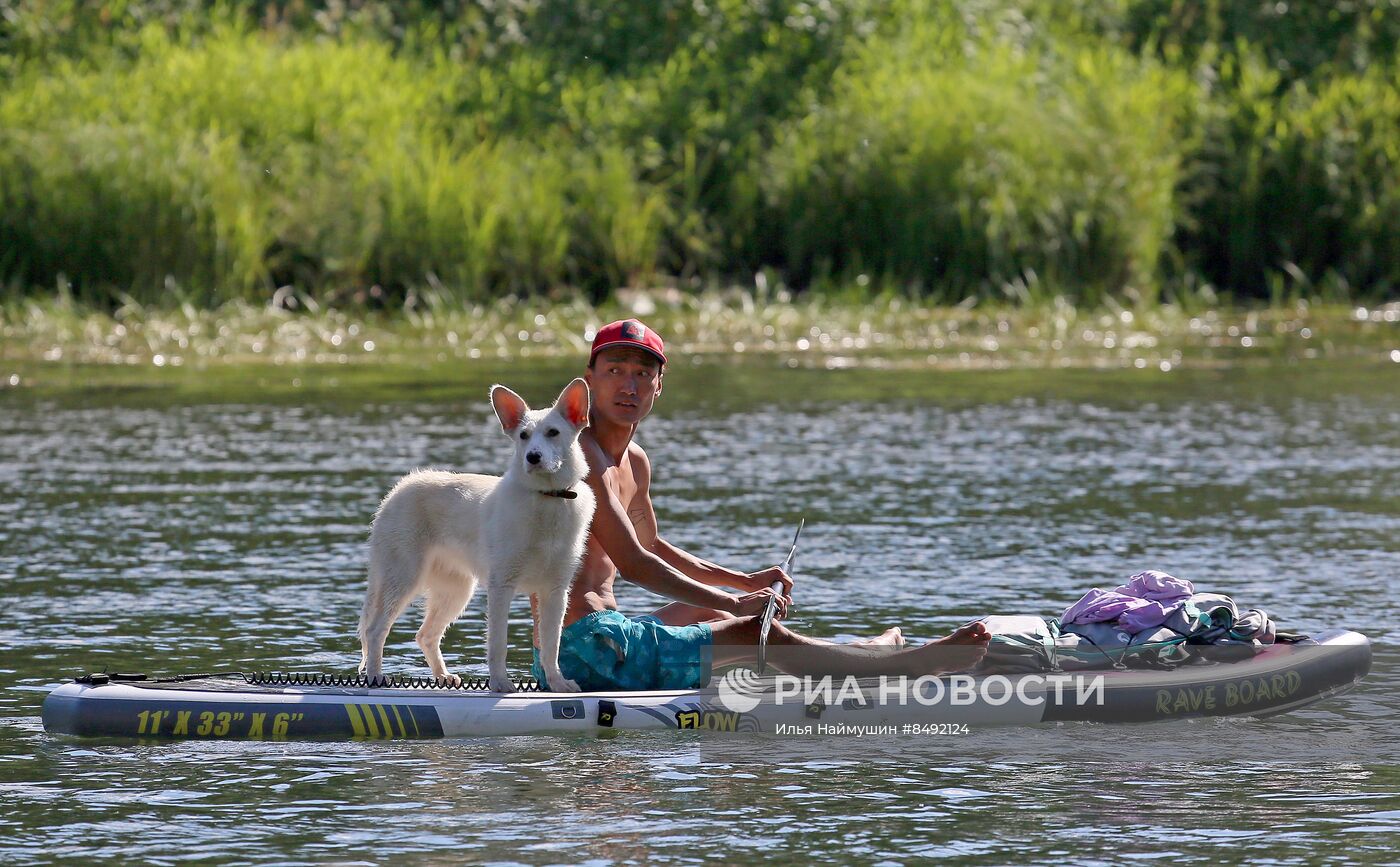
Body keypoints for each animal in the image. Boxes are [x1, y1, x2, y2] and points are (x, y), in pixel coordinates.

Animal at [355, 380, 596, 691]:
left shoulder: (555, 592)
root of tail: (397, 490)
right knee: (376, 630)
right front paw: (500, 683)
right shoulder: (501, 585)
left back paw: (443, 676)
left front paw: (557, 683)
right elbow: (498, 643)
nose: (532, 457)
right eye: (523, 436)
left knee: (425, 635)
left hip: (456, 590)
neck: (547, 497)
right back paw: (375, 675)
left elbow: (551, 646)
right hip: (403, 577)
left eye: (553, 432)